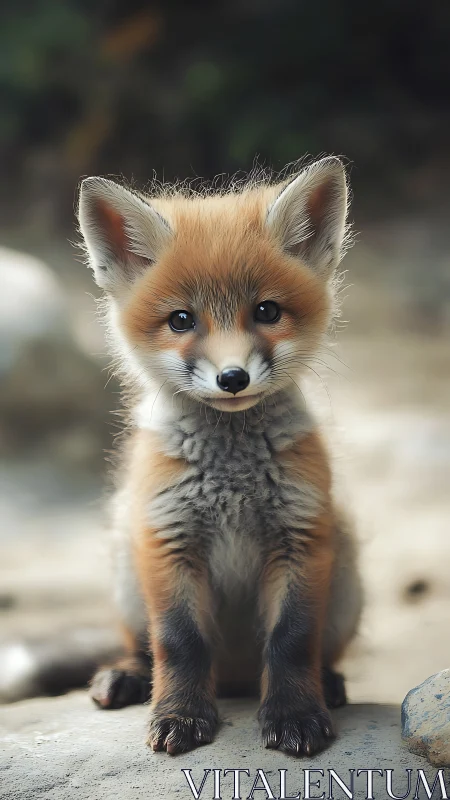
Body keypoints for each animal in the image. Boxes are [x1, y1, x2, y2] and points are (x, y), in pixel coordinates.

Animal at [76, 156, 362, 757]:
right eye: (181, 320)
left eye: (267, 311)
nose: (233, 378)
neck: (231, 478)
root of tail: (234, 682)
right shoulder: (167, 537)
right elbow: (179, 643)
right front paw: (180, 715)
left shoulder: (301, 535)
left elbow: (292, 642)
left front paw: (296, 714)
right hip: (126, 568)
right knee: (143, 647)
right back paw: (126, 675)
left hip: (345, 568)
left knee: (317, 654)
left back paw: (328, 683)